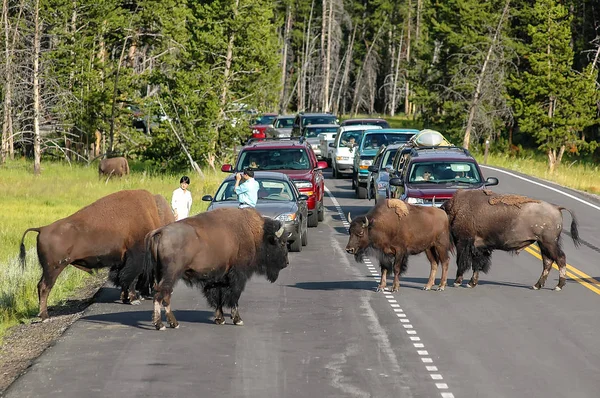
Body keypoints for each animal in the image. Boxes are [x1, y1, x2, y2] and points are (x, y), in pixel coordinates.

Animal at [143, 207, 288, 332]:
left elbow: (217, 297)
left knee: (164, 295)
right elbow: (234, 297)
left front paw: (220, 319)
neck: (254, 233)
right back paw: (162, 325)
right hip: (171, 275)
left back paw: (172, 323)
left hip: (160, 274)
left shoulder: (218, 277)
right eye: (281, 243)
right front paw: (237, 320)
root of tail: (160, 232)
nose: (286, 263)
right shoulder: (237, 276)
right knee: (161, 296)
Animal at [442, 189, 580, 290]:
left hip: (549, 243)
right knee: (548, 262)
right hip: (543, 244)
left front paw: (457, 282)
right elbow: (477, 265)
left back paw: (558, 286)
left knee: (560, 258)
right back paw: (536, 286)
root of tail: (556, 207)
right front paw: (471, 283)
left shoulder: (463, 243)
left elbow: (462, 262)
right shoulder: (480, 248)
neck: (457, 209)